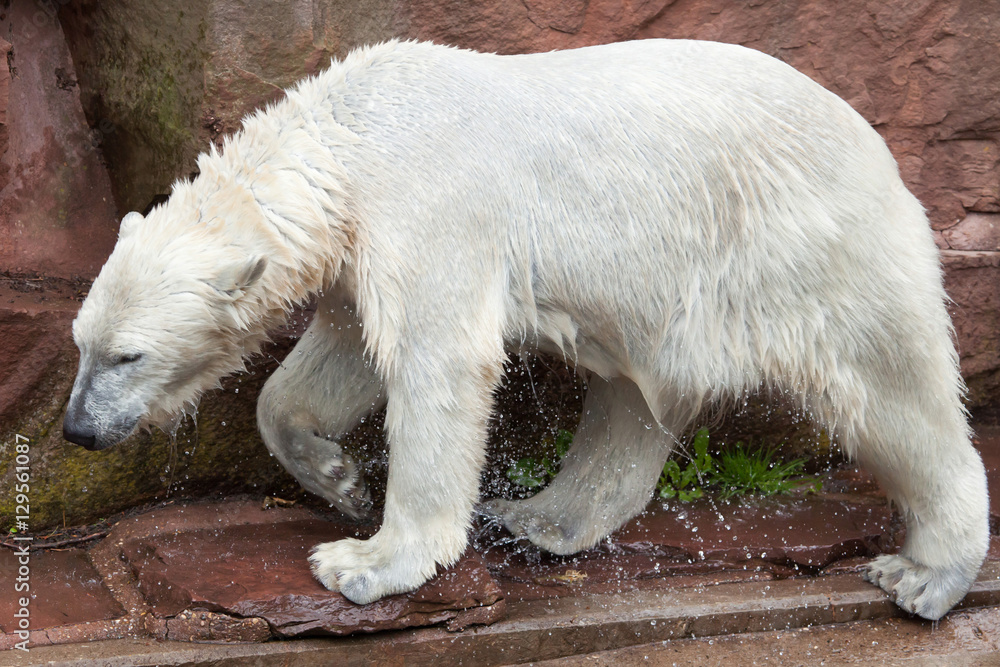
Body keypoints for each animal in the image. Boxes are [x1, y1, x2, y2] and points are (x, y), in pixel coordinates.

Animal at [62, 38, 988, 620]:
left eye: (128, 354)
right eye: (81, 344)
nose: (76, 429)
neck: (347, 138)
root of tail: (882, 154)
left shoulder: (428, 205)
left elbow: (437, 364)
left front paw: (364, 561)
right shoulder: (360, 248)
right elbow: (336, 358)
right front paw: (337, 476)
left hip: (813, 254)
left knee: (889, 394)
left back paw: (926, 573)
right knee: (628, 400)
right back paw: (538, 517)